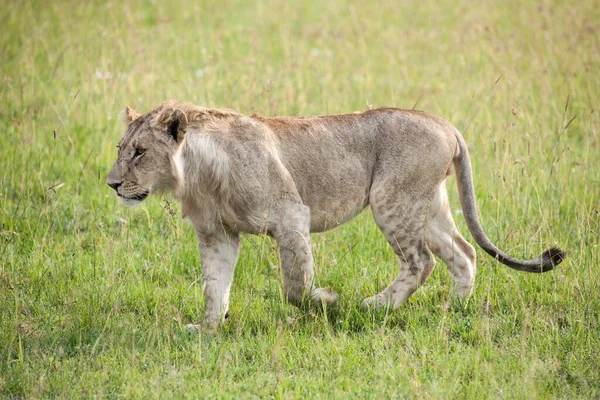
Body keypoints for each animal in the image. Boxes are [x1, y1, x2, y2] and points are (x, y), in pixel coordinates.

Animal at [109, 101, 568, 332]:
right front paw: (207, 329)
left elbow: (296, 287)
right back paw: (453, 311)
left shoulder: (290, 215)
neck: (196, 171)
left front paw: (327, 302)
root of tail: (446, 125)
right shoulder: (217, 234)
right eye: (120, 148)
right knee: (464, 253)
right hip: (428, 207)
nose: (112, 184)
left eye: (140, 152)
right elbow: (214, 286)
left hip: (390, 200)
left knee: (421, 261)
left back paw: (376, 307)